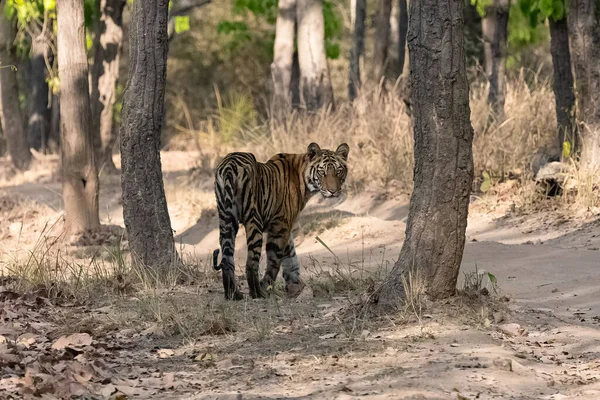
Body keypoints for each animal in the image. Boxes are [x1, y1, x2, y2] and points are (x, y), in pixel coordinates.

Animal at [213, 143, 350, 300]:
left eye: (339, 172)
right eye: (322, 172)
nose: (333, 191)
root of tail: (230, 165)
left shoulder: (285, 225)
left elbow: (290, 256)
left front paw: (295, 285)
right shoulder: (280, 225)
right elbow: (275, 259)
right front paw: (267, 286)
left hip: (226, 218)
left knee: (227, 258)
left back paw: (233, 294)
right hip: (253, 220)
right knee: (251, 262)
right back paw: (257, 293)